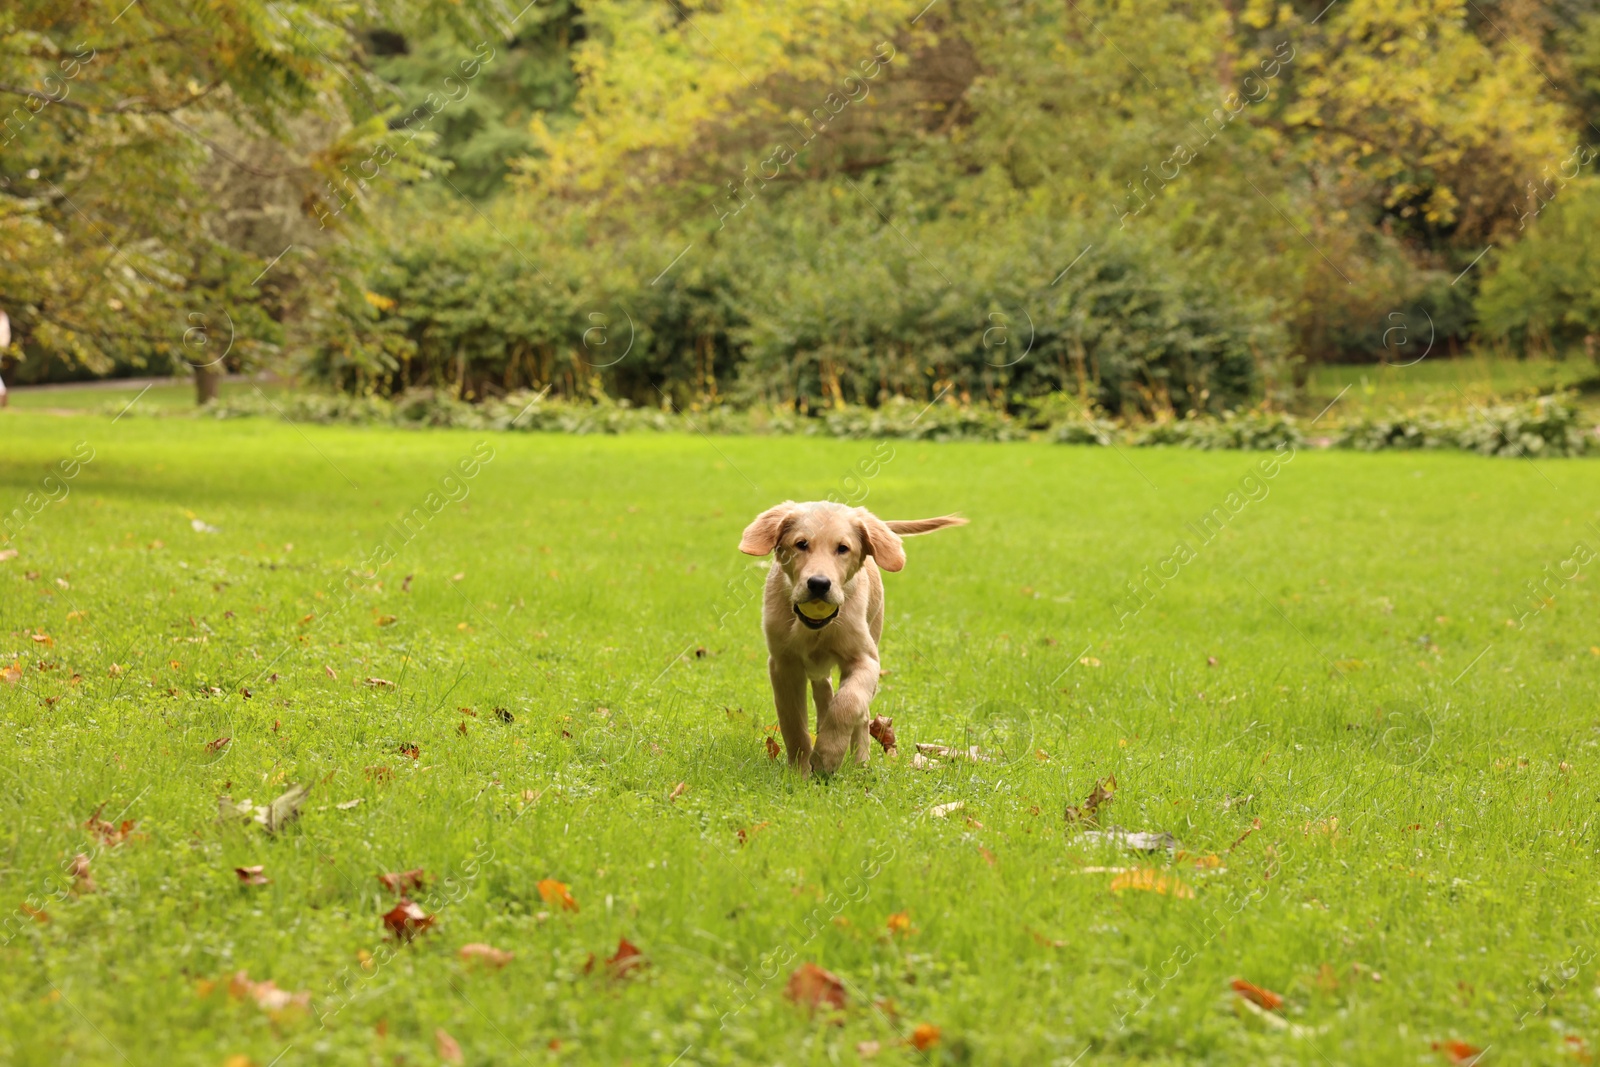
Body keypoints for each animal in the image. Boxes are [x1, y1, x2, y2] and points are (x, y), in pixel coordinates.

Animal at [739, 502, 972, 777]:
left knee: (860, 714)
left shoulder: (866, 659)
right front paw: (799, 772)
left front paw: (828, 756)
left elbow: (847, 704)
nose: (819, 584)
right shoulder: (783, 665)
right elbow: (793, 723)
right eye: (801, 544)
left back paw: (861, 763)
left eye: (843, 548)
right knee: (823, 689)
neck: (817, 628)